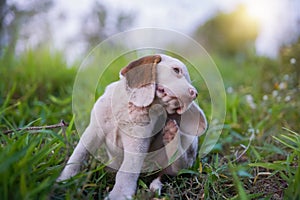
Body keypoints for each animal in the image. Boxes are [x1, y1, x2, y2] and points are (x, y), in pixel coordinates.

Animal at [56, 54, 206, 199]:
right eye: (176, 70)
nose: (194, 94)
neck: (131, 107)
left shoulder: (137, 143)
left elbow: (127, 171)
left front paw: (119, 194)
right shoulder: (94, 131)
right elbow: (78, 156)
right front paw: (64, 180)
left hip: (188, 144)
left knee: (176, 168)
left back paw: (171, 136)